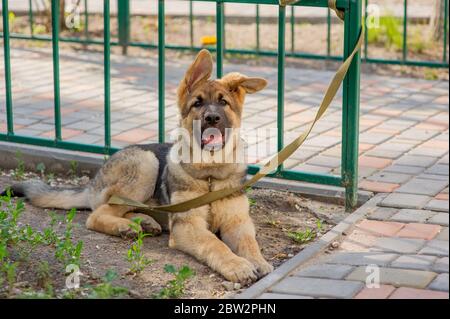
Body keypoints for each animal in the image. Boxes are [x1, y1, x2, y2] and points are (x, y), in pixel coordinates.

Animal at [4, 50, 274, 284]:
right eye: (197, 104)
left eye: (223, 103)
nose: (212, 118)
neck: (210, 176)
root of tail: (94, 182)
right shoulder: (188, 226)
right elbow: (215, 244)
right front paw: (237, 266)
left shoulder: (238, 222)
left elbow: (249, 243)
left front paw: (258, 262)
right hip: (146, 164)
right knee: (97, 214)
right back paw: (125, 226)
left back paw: (142, 221)